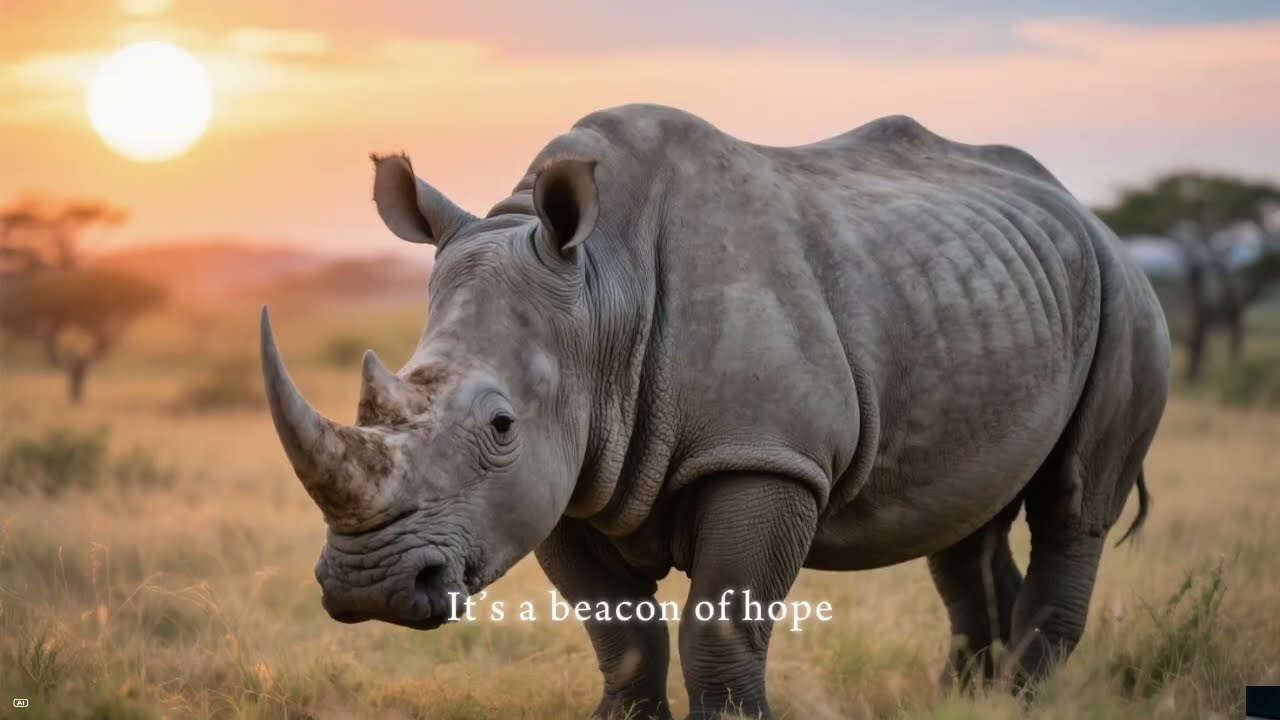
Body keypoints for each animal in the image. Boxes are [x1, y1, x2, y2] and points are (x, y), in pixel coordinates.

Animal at [260, 104, 1170, 719]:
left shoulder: (763, 454)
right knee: (963, 524)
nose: (371, 586)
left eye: (500, 425)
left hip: (1128, 298)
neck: (600, 293)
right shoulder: (561, 481)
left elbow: (719, 633)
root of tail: (1086, 214)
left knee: (1073, 505)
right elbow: (623, 638)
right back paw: (966, 701)